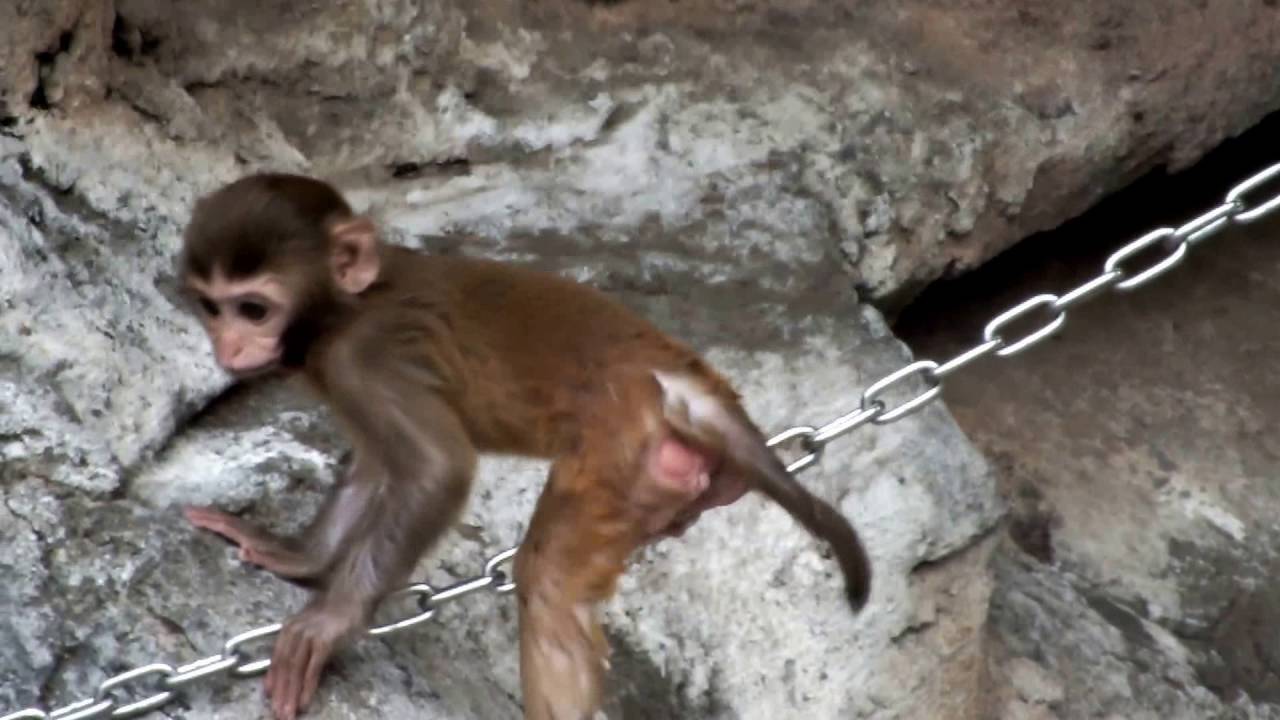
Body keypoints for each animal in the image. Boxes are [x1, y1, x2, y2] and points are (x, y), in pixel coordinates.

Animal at [176, 172, 870, 720]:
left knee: (550, 585)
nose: (228, 346)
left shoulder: (364, 358)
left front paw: (331, 618)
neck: (343, 310)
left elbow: (436, 468)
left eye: (254, 309)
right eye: (212, 307)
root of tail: (680, 381)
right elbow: (376, 464)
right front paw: (298, 555)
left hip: (618, 448)